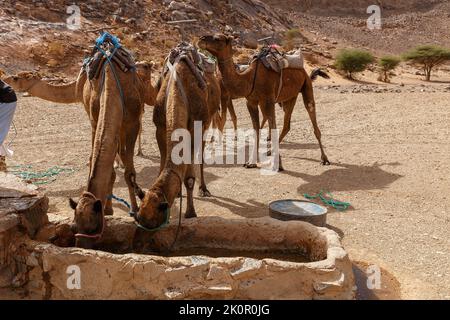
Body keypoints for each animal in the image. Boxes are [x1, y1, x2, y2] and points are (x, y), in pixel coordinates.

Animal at [136, 44, 222, 230]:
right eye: (138, 218)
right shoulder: (160, 128)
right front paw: (176, 194)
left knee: (200, 156)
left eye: (154, 223)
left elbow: (189, 177)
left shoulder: (195, 128)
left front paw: (190, 212)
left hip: (207, 121)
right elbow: (163, 163)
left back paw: (204, 189)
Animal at [198, 34, 330, 170]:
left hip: (306, 86)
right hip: (289, 97)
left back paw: (324, 158)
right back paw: (269, 151)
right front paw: (251, 162)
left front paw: (278, 164)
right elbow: (256, 129)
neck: (249, 78)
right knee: (286, 125)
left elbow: (272, 127)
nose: (201, 39)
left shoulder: (268, 100)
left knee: (311, 114)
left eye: (218, 38)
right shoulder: (251, 102)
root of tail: (303, 69)